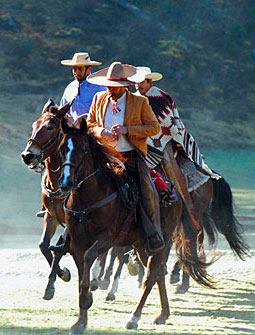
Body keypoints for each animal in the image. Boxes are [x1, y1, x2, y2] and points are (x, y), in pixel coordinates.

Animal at [20, 98, 73, 300]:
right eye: (34, 125)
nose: (27, 155)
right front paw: (61, 274)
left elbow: (60, 246)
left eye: (50, 127)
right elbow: (44, 245)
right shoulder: (51, 216)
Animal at [56, 117, 214, 334]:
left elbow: (90, 259)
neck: (89, 199)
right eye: (62, 148)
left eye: (82, 149)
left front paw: (89, 297)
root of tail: (176, 194)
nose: (65, 182)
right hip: (141, 245)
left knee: (151, 275)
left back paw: (135, 317)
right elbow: (82, 275)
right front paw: (80, 321)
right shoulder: (77, 245)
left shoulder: (107, 239)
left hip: (161, 241)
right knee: (158, 273)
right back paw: (163, 314)